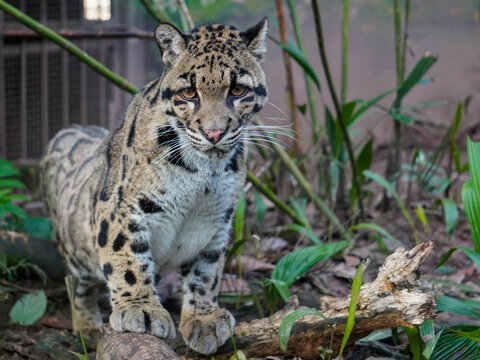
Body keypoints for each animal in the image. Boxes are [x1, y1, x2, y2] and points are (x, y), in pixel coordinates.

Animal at [39, 17, 268, 354]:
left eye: (238, 90)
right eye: (189, 93)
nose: (214, 133)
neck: (203, 175)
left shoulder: (215, 222)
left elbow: (207, 272)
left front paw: (205, 318)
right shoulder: (121, 207)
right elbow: (127, 258)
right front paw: (140, 309)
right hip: (75, 250)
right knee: (77, 285)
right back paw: (88, 326)